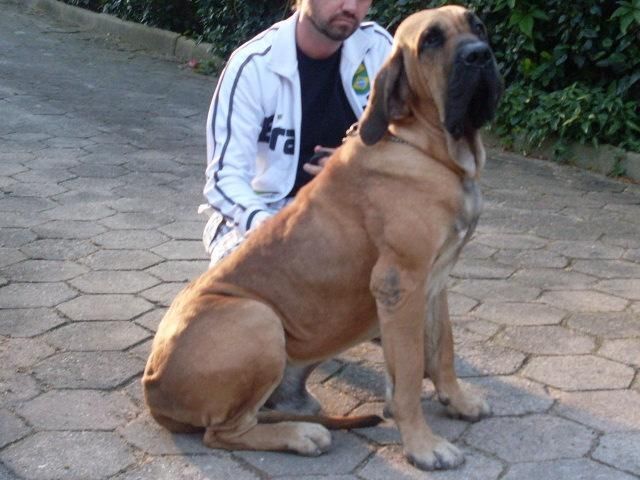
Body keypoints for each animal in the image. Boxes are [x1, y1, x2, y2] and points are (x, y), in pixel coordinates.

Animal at [143, 5, 502, 471]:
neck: (430, 147)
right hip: (258, 319)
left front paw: (457, 400)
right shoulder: (400, 283)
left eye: (477, 26)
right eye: (431, 41)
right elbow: (408, 373)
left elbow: (442, 349)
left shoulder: (433, 281)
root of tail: (152, 387)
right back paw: (300, 435)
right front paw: (424, 445)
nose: (479, 55)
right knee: (221, 433)